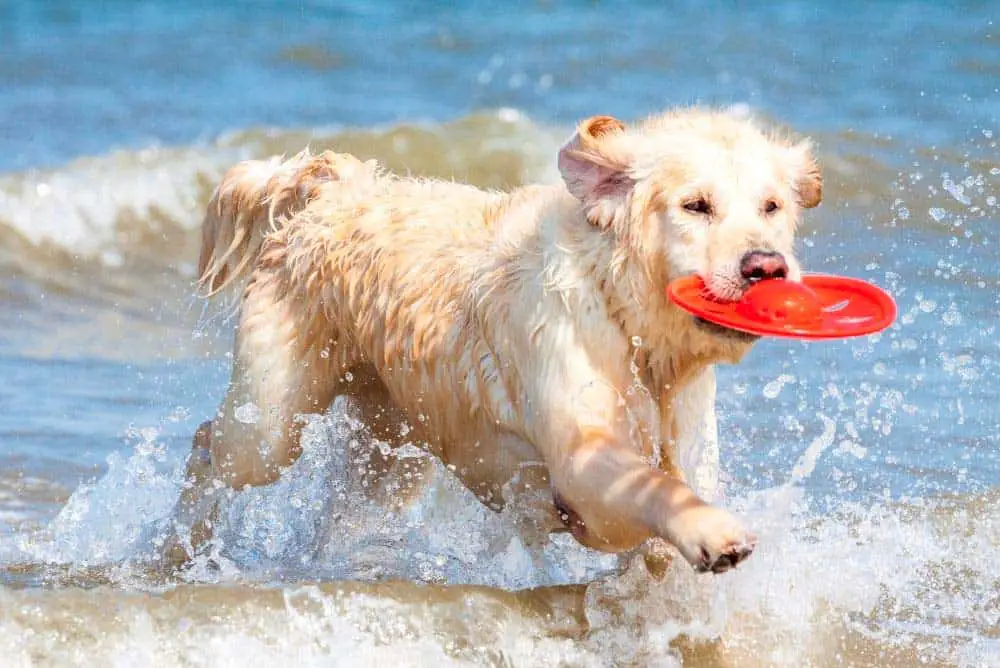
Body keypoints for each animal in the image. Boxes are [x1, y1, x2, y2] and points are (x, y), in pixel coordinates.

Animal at [166, 109, 820, 576]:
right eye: (695, 205)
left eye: (772, 206)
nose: (766, 267)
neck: (628, 319)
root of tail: (331, 190)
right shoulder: (582, 461)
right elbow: (649, 487)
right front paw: (714, 533)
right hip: (271, 423)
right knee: (211, 446)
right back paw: (174, 554)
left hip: (391, 451)